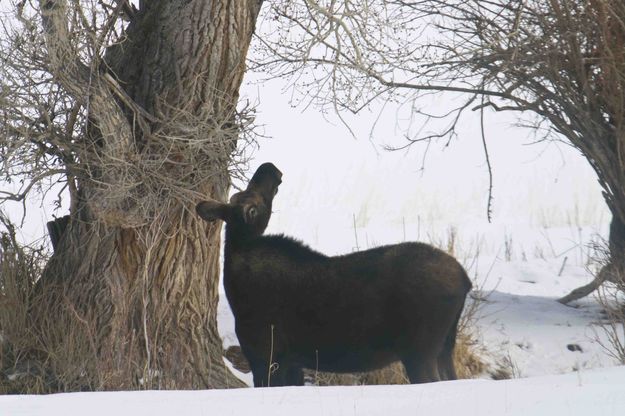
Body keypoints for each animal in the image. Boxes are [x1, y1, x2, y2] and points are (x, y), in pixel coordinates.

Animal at [197, 162, 470, 386]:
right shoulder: (288, 361)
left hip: (420, 351)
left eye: (255, 195)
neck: (235, 285)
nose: (270, 168)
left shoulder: (266, 355)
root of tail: (465, 280)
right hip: (444, 347)